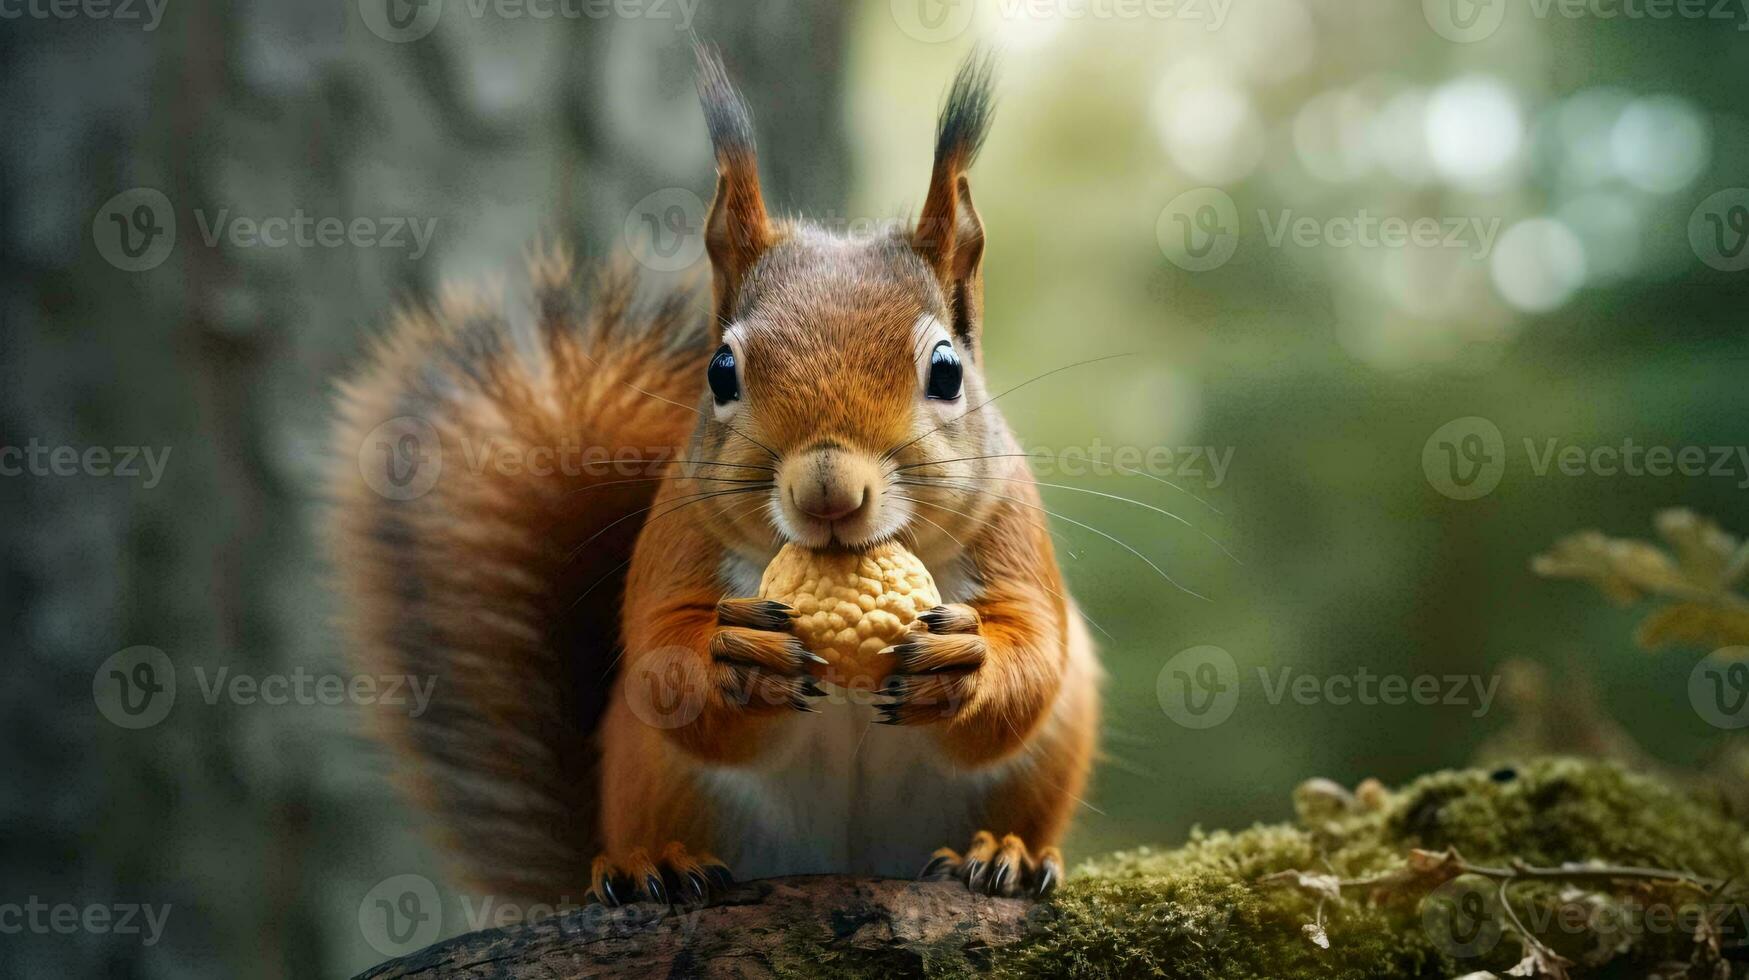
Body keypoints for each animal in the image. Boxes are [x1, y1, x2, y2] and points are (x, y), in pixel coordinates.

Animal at [327, 43, 1091, 903]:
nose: (828, 490)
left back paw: (1004, 855)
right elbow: (660, 659)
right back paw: (652, 865)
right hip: (655, 776)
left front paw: (968, 661)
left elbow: (1034, 652)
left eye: (947, 370)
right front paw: (734, 660)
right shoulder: (678, 529)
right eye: (721, 370)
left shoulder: (1010, 529)